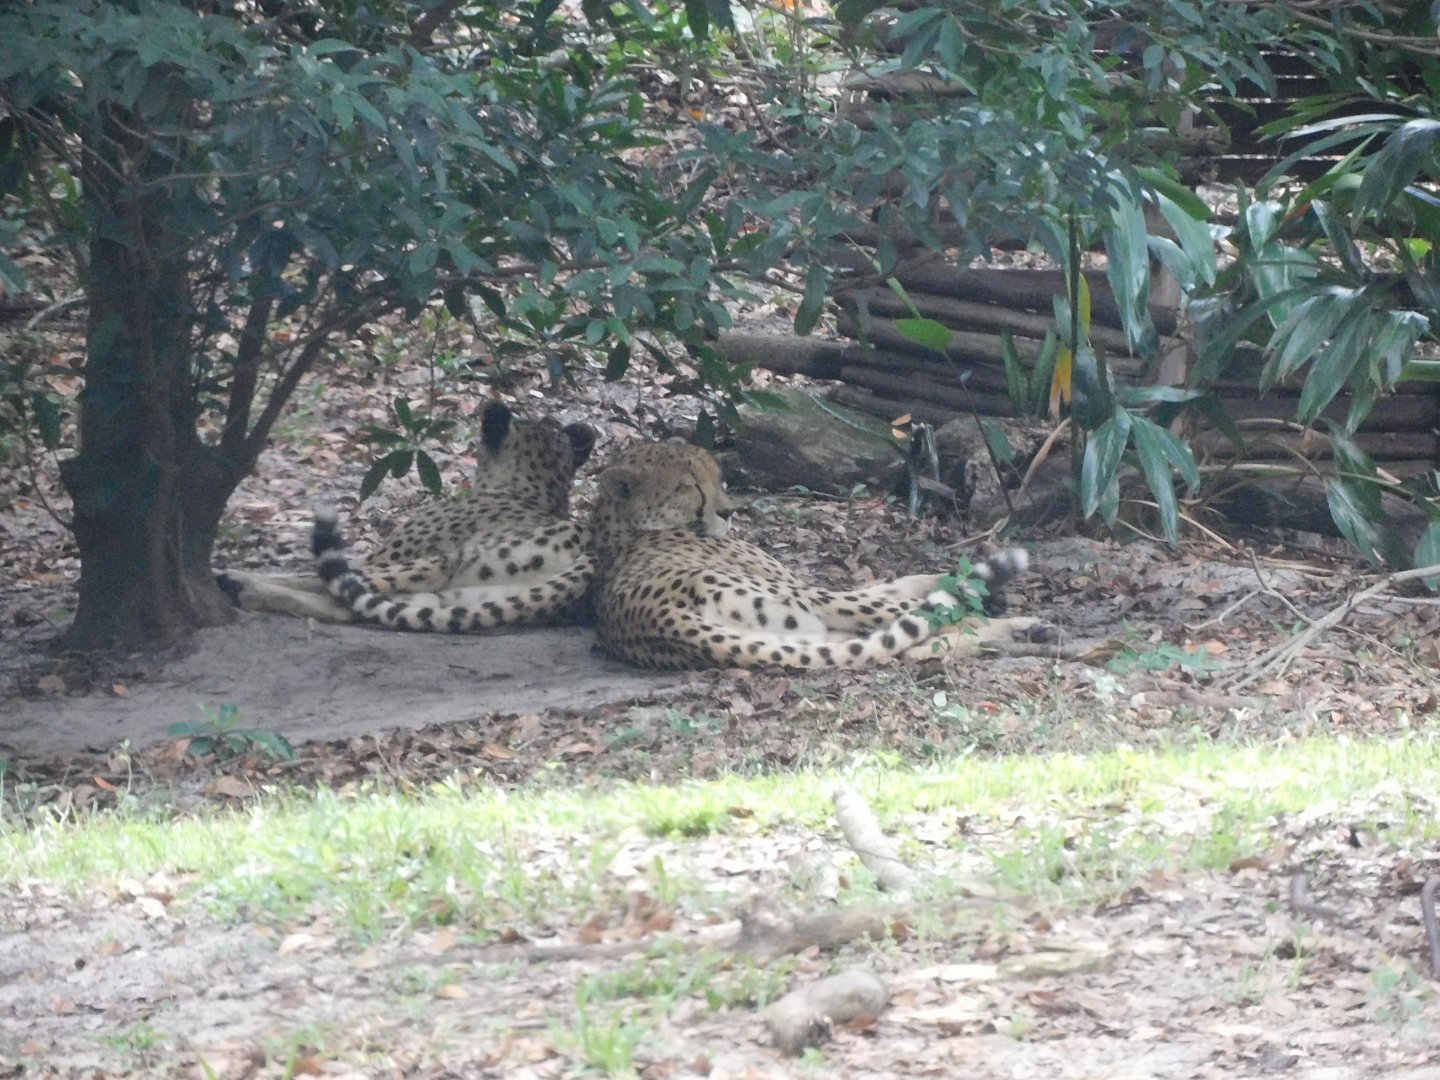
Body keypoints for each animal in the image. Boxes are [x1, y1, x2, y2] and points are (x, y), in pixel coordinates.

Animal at [218, 400, 597, 627]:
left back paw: (238, 583)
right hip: (450, 598)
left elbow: (310, 574)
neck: (534, 490)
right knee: (348, 605)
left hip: (443, 562)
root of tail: (589, 559)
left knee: (333, 583)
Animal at [588, 441, 1044, 671]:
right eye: (687, 487)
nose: (730, 511)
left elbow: (904, 581)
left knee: (907, 639)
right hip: (812, 604)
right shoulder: (808, 588)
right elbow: (907, 593)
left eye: (717, 477)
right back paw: (1022, 622)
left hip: (811, 632)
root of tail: (662, 618)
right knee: (940, 621)